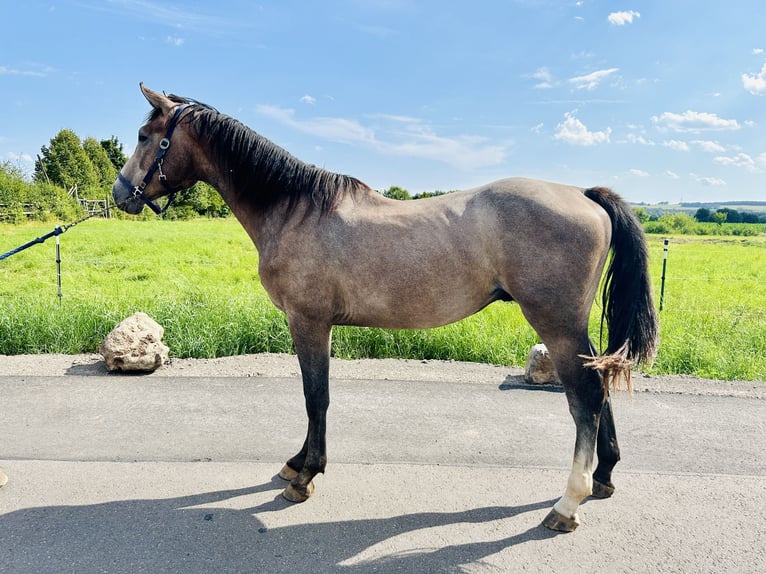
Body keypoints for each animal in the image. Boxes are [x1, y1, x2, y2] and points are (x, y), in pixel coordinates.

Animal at [112, 83, 660, 532]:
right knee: (599, 388)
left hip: (556, 324)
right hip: (573, 329)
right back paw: (603, 475)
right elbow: (315, 397)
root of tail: (584, 194)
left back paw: (568, 503)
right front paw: (297, 462)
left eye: (144, 135)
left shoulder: (308, 322)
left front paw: (305, 476)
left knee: (584, 399)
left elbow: (316, 397)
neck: (294, 209)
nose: (120, 193)